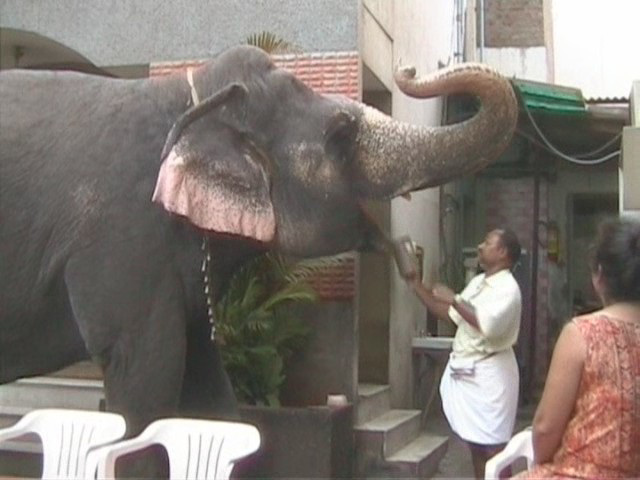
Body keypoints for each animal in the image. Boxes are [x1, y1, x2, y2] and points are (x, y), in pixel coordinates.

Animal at [0, 46, 520, 436]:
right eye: (341, 133)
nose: (408, 70)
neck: (188, 96)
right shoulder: (122, 239)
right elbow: (146, 379)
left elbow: (211, 389)